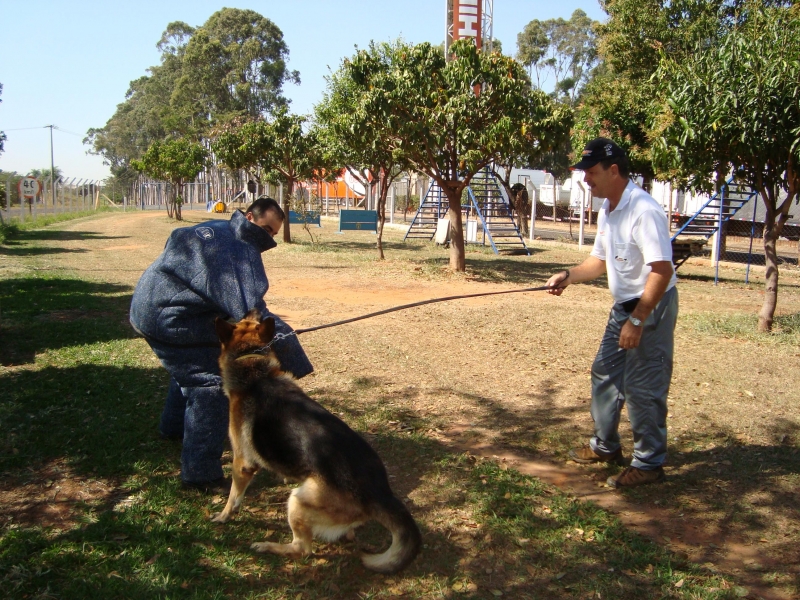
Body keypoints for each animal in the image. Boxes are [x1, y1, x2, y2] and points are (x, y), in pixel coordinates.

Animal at [209, 312, 422, 576]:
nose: (255, 310)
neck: (252, 363)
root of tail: (380, 494)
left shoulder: (242, 463)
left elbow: (233, 497)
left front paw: (223, 516)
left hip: (298, 501)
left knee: (302, 549)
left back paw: (268, 546)